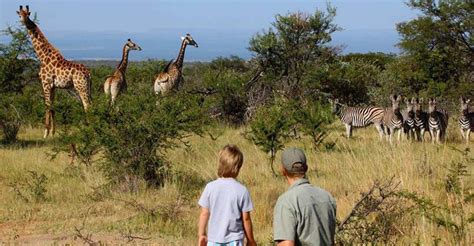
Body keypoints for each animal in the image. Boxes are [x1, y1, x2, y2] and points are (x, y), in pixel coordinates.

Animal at [16, 5, 91, 137]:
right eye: (20, 14)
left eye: (27, 14)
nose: (23, 21)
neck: (42, 56)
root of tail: (88, 74)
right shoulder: (53, 86)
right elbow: (52, 106)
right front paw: (53, 132)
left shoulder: (45, 83)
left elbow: (47, 105)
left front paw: (45, 133)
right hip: (86, 87)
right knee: (90, 104)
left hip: (80, 87)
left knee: (86, 105)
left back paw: (89, 129)